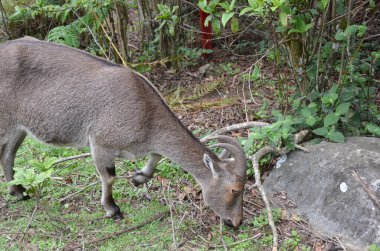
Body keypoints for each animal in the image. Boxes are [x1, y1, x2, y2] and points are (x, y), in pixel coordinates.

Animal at [0, 36, 248, 227]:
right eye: (235, 190)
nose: (236, 222)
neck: (146, 111)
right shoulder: (101, 142)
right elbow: (109, 177)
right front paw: (113, 210)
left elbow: (156, 155)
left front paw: (139, 178)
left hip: (18, 128)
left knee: (8, 155)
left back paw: (18, 191)